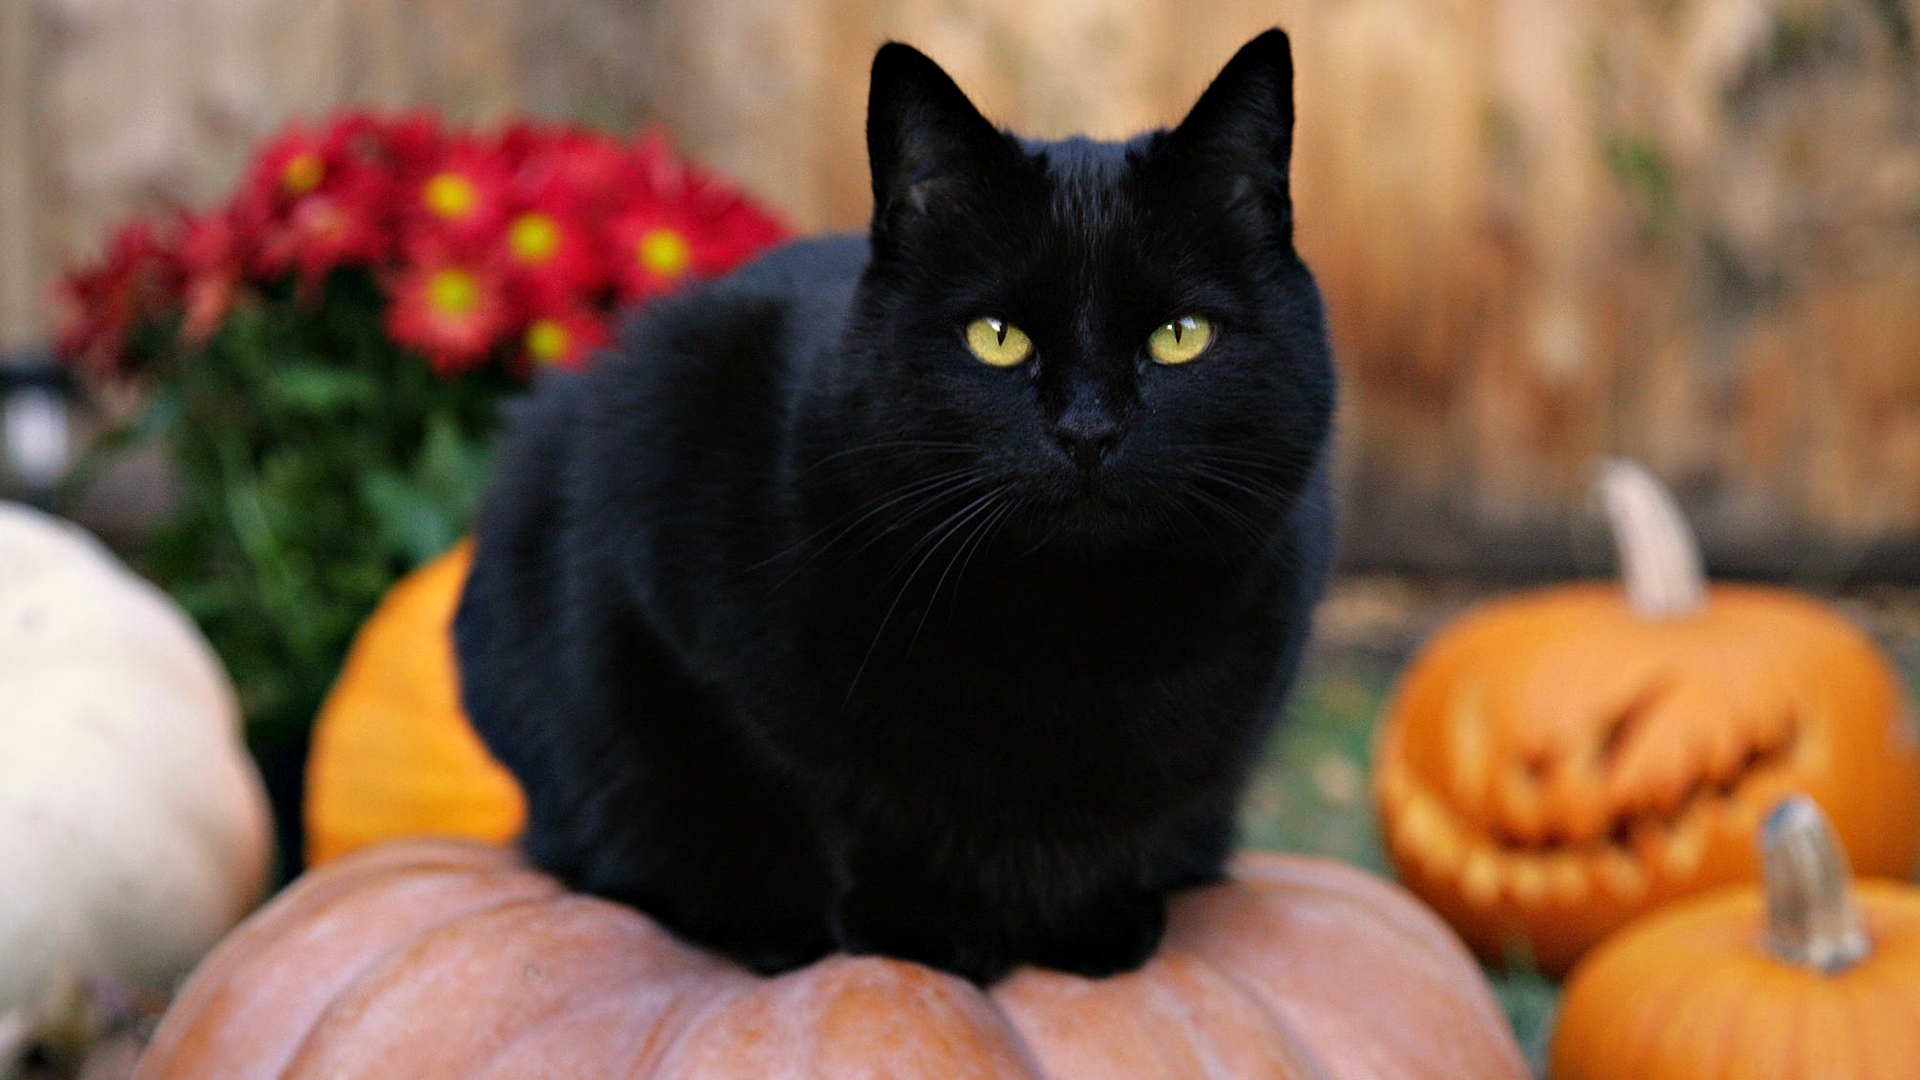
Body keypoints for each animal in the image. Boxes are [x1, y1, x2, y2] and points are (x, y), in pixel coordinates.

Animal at [458, 29, 1344, 980]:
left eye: (1180, 336)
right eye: (997, 338)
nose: (1088, 429)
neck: (1068, 635)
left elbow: (1137, 821)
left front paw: (1090, 923)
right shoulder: (668, 564)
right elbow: (829, 799)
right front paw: (922, 930)